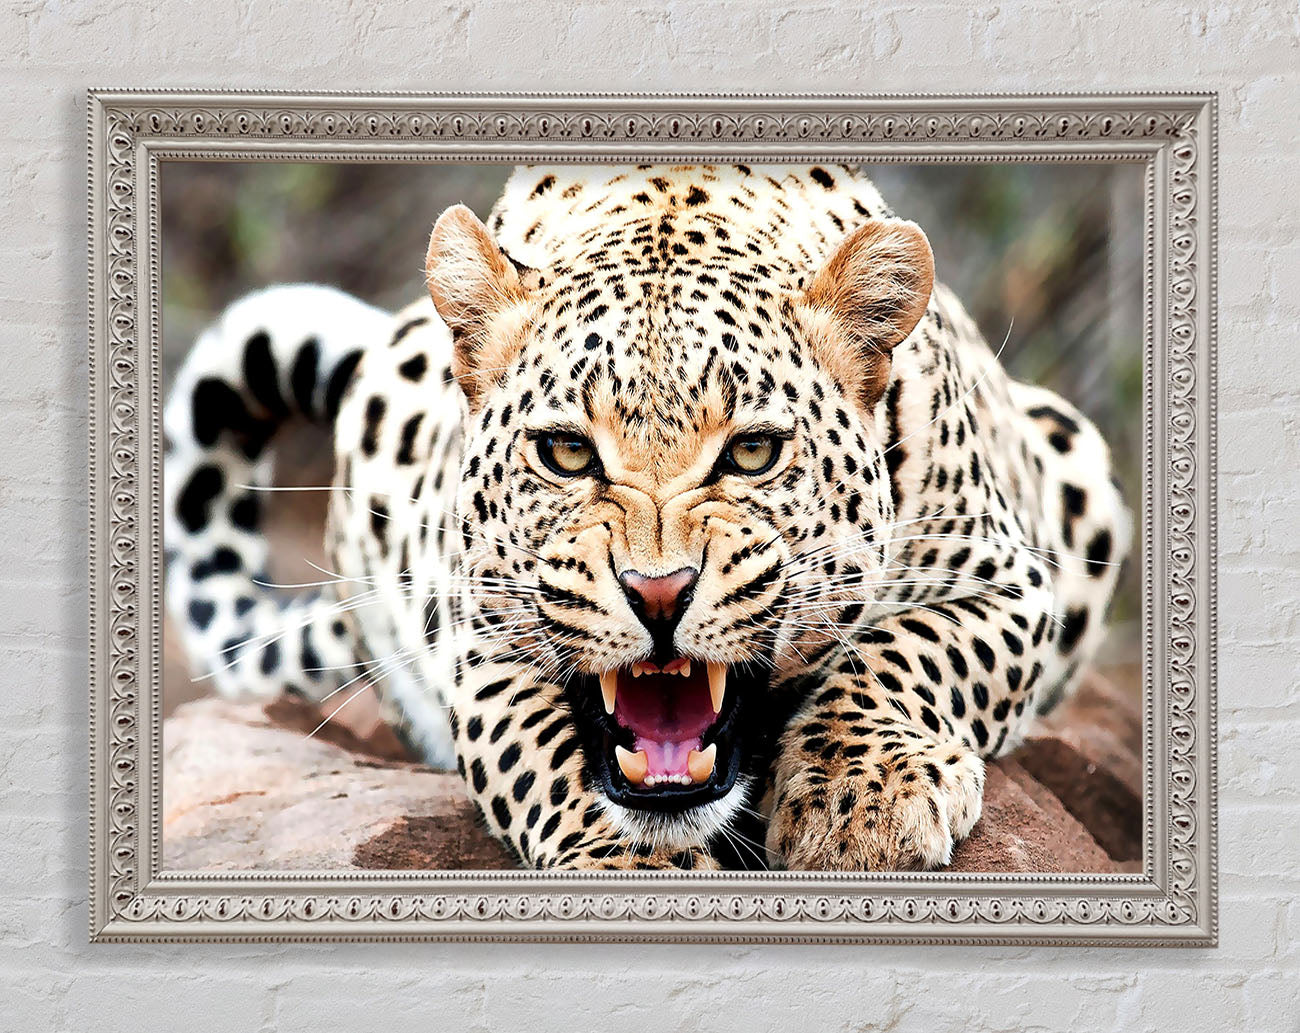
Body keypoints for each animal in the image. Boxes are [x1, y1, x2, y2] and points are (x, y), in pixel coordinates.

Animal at [163, 164, 1129, 871]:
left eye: (752, 452)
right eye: (565, 452)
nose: (658, 593)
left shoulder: (1011, 581)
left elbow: (909, 651)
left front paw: (863, 799)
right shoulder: (483, 643)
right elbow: (549, 759)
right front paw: (630, 864)